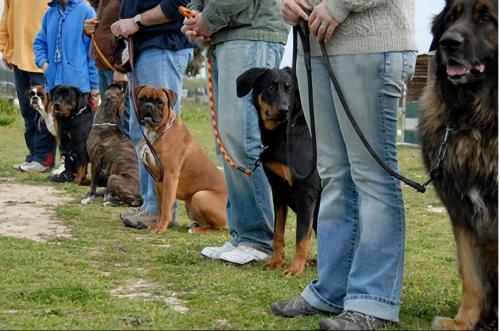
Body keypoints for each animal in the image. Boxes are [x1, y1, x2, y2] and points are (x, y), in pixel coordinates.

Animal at [133, 85, 227, 235]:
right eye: (142, 98)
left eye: (160, 102)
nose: (148, 106)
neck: (158, 132)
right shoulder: (158, 181)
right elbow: (161, 206)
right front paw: (156, 225)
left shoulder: (170, 177)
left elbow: (166, 206)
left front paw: (161, 228)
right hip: (190, 204)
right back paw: (195, 225)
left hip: (199, 196)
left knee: (220, 227)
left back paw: (197, 229)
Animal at [237, 67, 320, 278]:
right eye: (270, 86)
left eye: (290, 89)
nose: (284, 110)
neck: (283, 134)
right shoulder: (278, 190)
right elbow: (278, 233)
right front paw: (276, 261)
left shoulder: (306, 192)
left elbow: (301, 236)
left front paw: (295, 268)